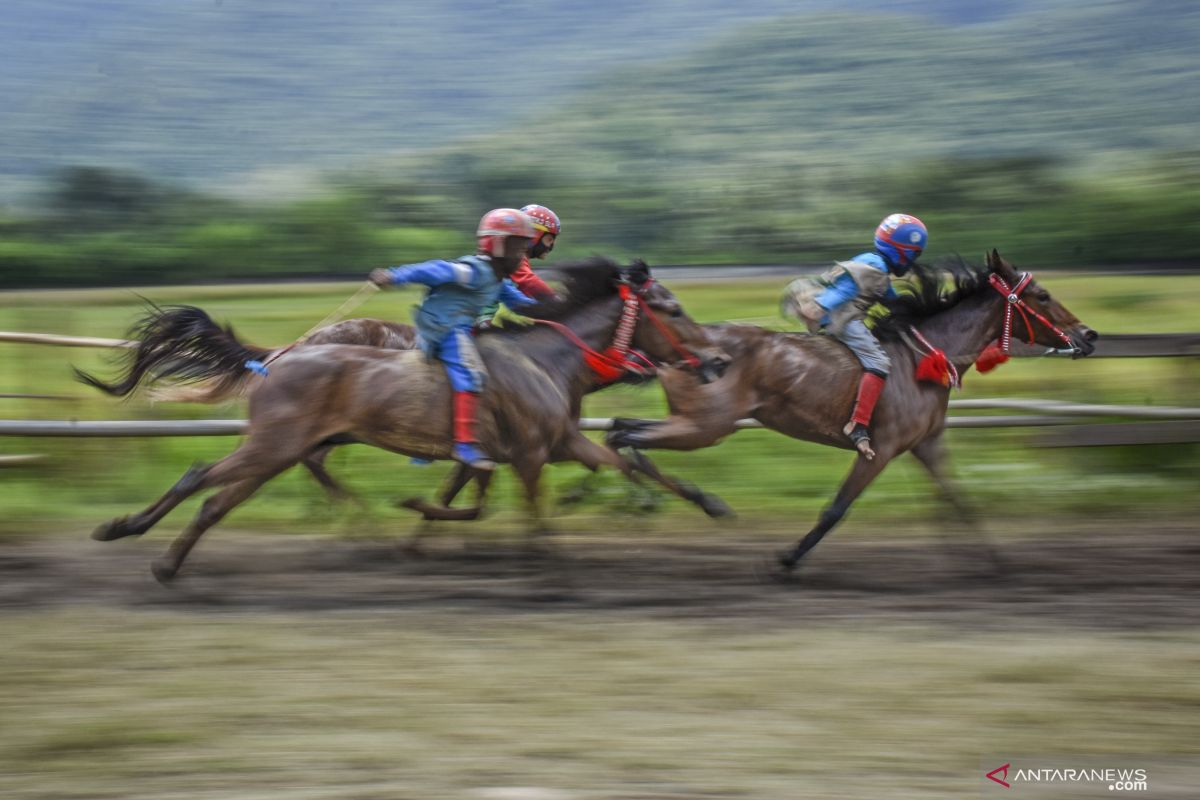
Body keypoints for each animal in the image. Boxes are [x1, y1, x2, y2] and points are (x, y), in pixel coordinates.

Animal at [84, 257, 724, 582]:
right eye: (672, 308)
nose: (715, 360)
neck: (547, 359)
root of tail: (280, 355)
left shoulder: (553, 443)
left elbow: (629, 463)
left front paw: (708, 501)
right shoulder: (529, 453)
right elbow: (520, 510)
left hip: (279, 450)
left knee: (217, 500)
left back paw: (165, 559)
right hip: (275, 445)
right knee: (202, 478)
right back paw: (126, 532)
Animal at [600, 250, 1099, 568]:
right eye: (1043, 296)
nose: (1089, 335)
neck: (923, 359)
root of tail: (683, 350)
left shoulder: (927, 444)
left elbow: (958, 498)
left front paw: (994, 559)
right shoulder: (881, 447)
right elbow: (836, 509)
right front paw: (789, 557)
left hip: (695, 422)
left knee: (620, 429)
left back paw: (681, 500)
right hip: (707, 424)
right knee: (624, 435)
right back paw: (686, 501)